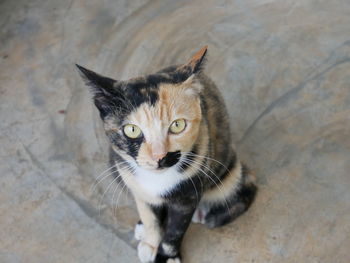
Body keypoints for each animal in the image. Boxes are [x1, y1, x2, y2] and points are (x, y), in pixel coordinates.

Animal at [76, 46, 258, 262]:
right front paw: (150, 240)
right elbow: (149, 216)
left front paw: (166, 256)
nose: (160, 157)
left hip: (228, 169)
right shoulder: (134, 182)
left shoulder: (188, 195)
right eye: (132, 130)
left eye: (177, 125)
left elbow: (176, 229)